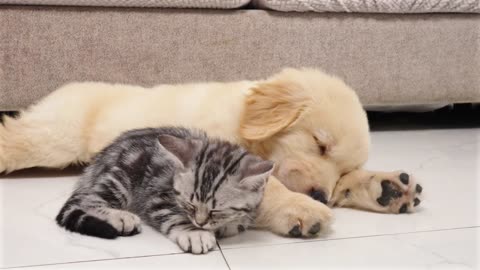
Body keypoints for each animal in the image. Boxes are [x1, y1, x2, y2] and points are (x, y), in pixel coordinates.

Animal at [0, 68, 420, 237]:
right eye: (320, 143)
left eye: (343, 169)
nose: (319, 194)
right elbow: (266, 188)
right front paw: (300, 209)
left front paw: (386, 187)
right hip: (54, 137)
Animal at [55, 126, 274, 253]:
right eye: (189, 205)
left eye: (216, 210)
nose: (199, 223)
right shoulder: (156, 196)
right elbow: (174, 215)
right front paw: (195, 233)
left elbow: (237, 223)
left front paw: (224, 225)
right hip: (123, 173)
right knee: (87, 200)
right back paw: (121, 217)